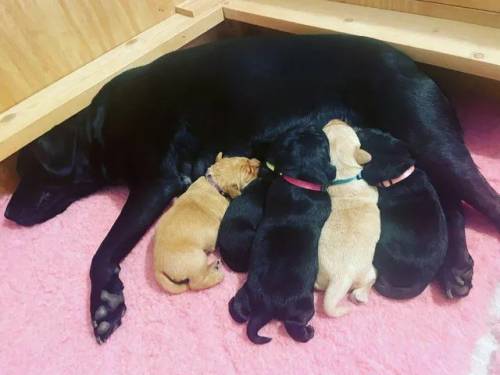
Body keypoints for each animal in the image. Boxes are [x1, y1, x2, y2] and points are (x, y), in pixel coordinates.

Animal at [154, 153, 260, 294]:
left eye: (246, 158)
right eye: (249, 171)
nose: (260, 163)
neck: (213, 183)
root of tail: (157, 267)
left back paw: (214, 266)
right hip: (197, 259)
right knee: (196, 284)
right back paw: (218, 276)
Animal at [230, 128, 336, 346]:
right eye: (323, 140)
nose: (314, 126)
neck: (301, 180)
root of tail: (266, 308)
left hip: (246, 292)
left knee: (239, 311)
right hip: (303, 306)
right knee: (294, 325)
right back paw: (308, 332)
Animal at [318, 120, 380, 318]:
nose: (335, 119)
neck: (342, 172)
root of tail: (341, 276)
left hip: (321, 275)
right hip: (369, 271)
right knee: (370, 281)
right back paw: (361, 295)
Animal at [356, 129, 450, 300]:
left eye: (365, 139)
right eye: (378, 132)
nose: (358, 129)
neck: (401, 176)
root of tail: (424, 280)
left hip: (380, 246)